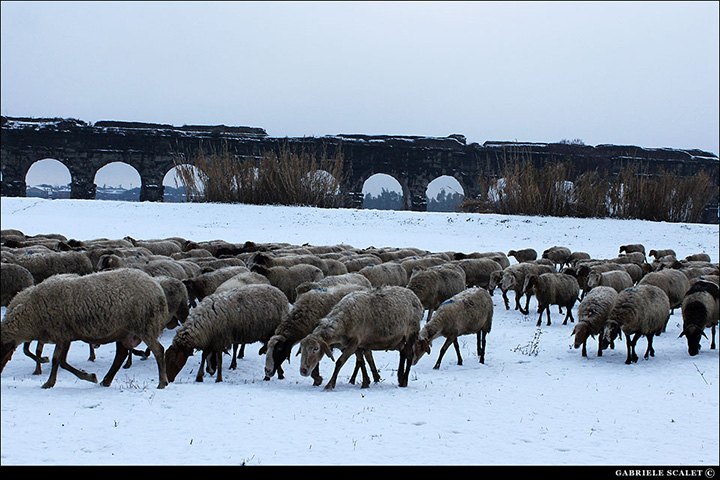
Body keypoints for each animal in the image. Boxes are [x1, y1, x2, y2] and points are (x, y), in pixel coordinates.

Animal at [0, 268, 171, 389]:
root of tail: (157, 288)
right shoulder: (66, 336)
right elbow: (61, 361)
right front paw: (90, 376)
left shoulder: (61, 333)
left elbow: (57, 361)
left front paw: (49, 383)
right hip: (124, 331)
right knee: (121, 355)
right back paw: (106, 381)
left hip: (145, 325)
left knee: (158, 350)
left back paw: (162, 382)